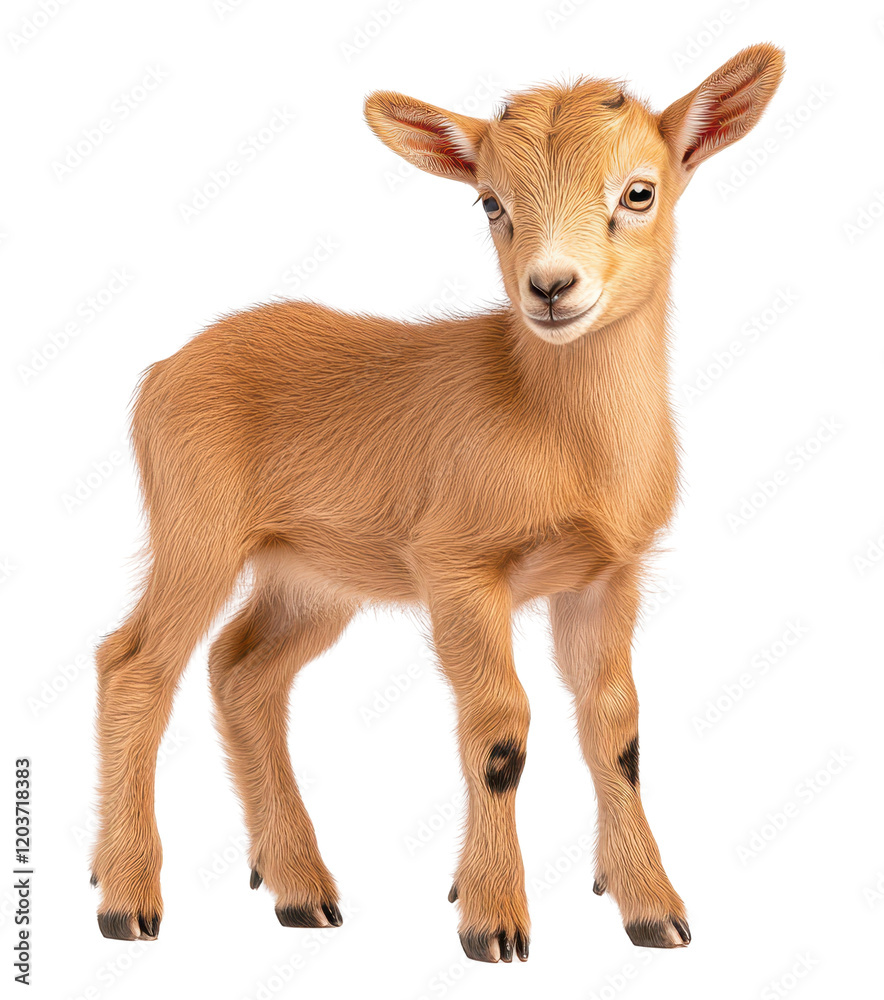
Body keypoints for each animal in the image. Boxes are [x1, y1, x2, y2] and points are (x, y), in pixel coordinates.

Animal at [91, 43, 784, 961]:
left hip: (311, 574)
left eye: (639, 191)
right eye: (491, 201)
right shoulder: (457, 565)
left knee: (241, 669)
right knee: (135, 665)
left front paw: (652, 912)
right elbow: (499, 729)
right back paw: (126, 900)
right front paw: (492, 920)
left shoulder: (606, 576)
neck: (561, 431)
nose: (550, 288)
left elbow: (617, 729)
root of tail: (163, 370)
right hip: (195, 527)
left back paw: (299, 891)